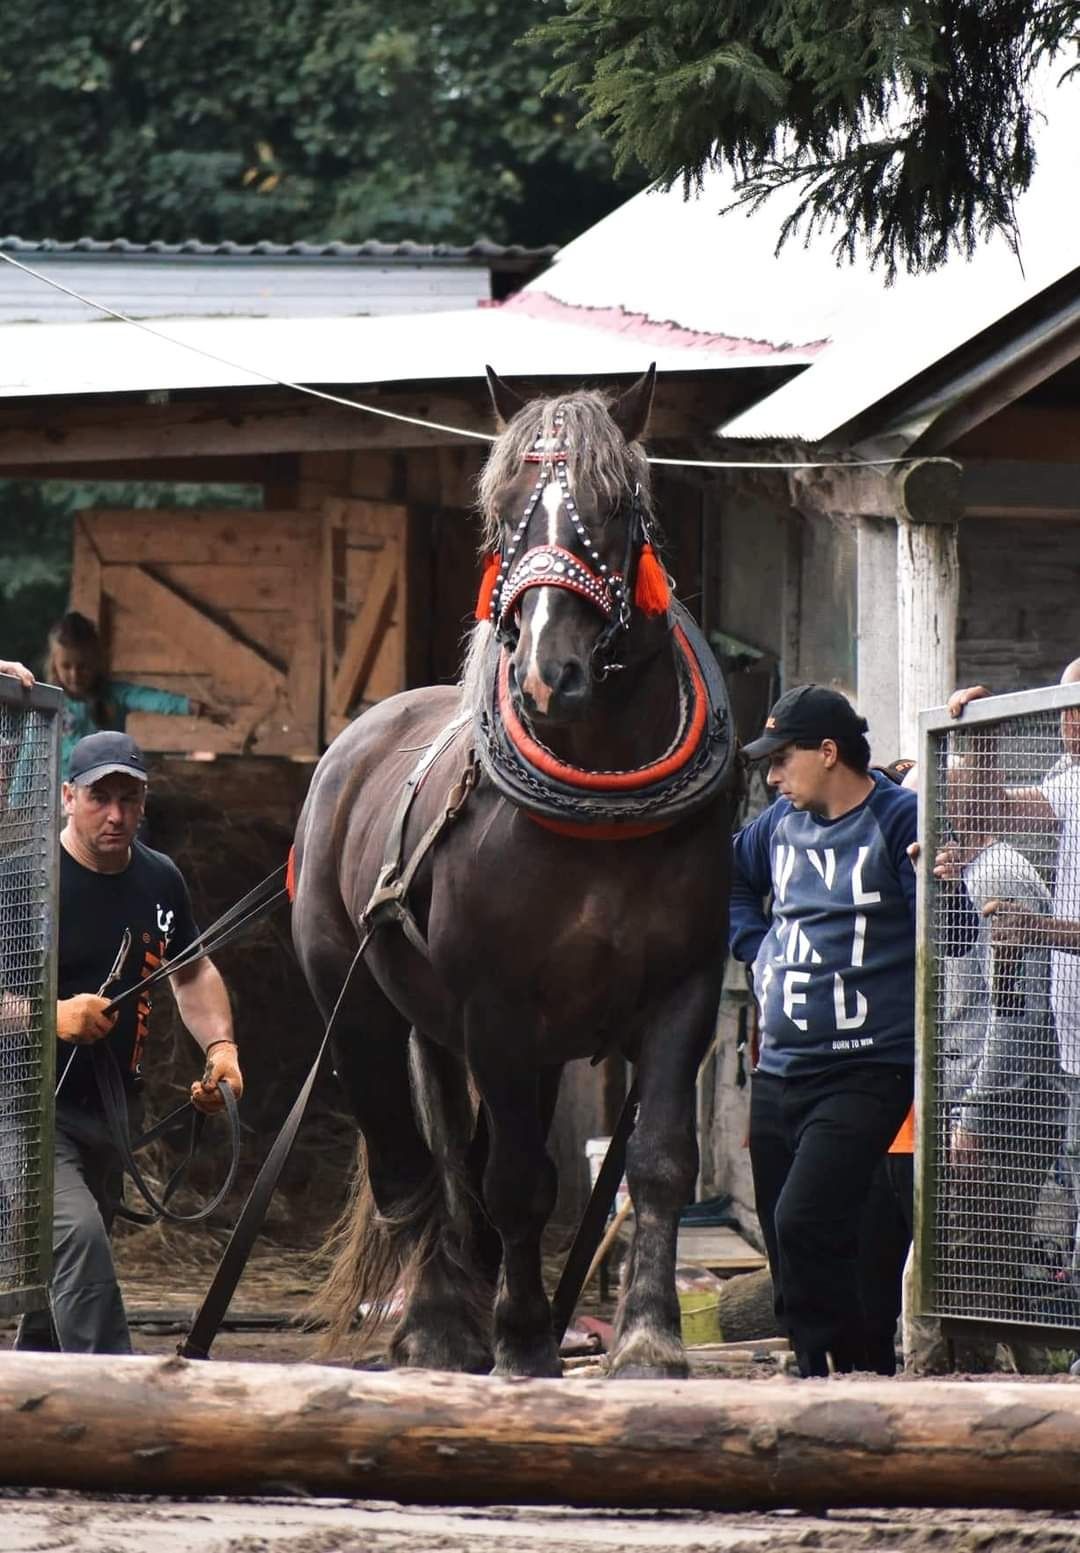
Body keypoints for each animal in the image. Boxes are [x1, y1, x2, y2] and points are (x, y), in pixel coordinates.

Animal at [292, 366, 739, 1385]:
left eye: (617, 506)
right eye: (500, 514)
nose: (546, 676)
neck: (600, 819)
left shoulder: (685, 987)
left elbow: (658, 1158)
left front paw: (648, 1338)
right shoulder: (494, 1006)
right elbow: (517, 1181)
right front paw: (525, 1338)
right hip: (361, 1006)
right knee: (419, 1169)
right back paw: (436, 1325)